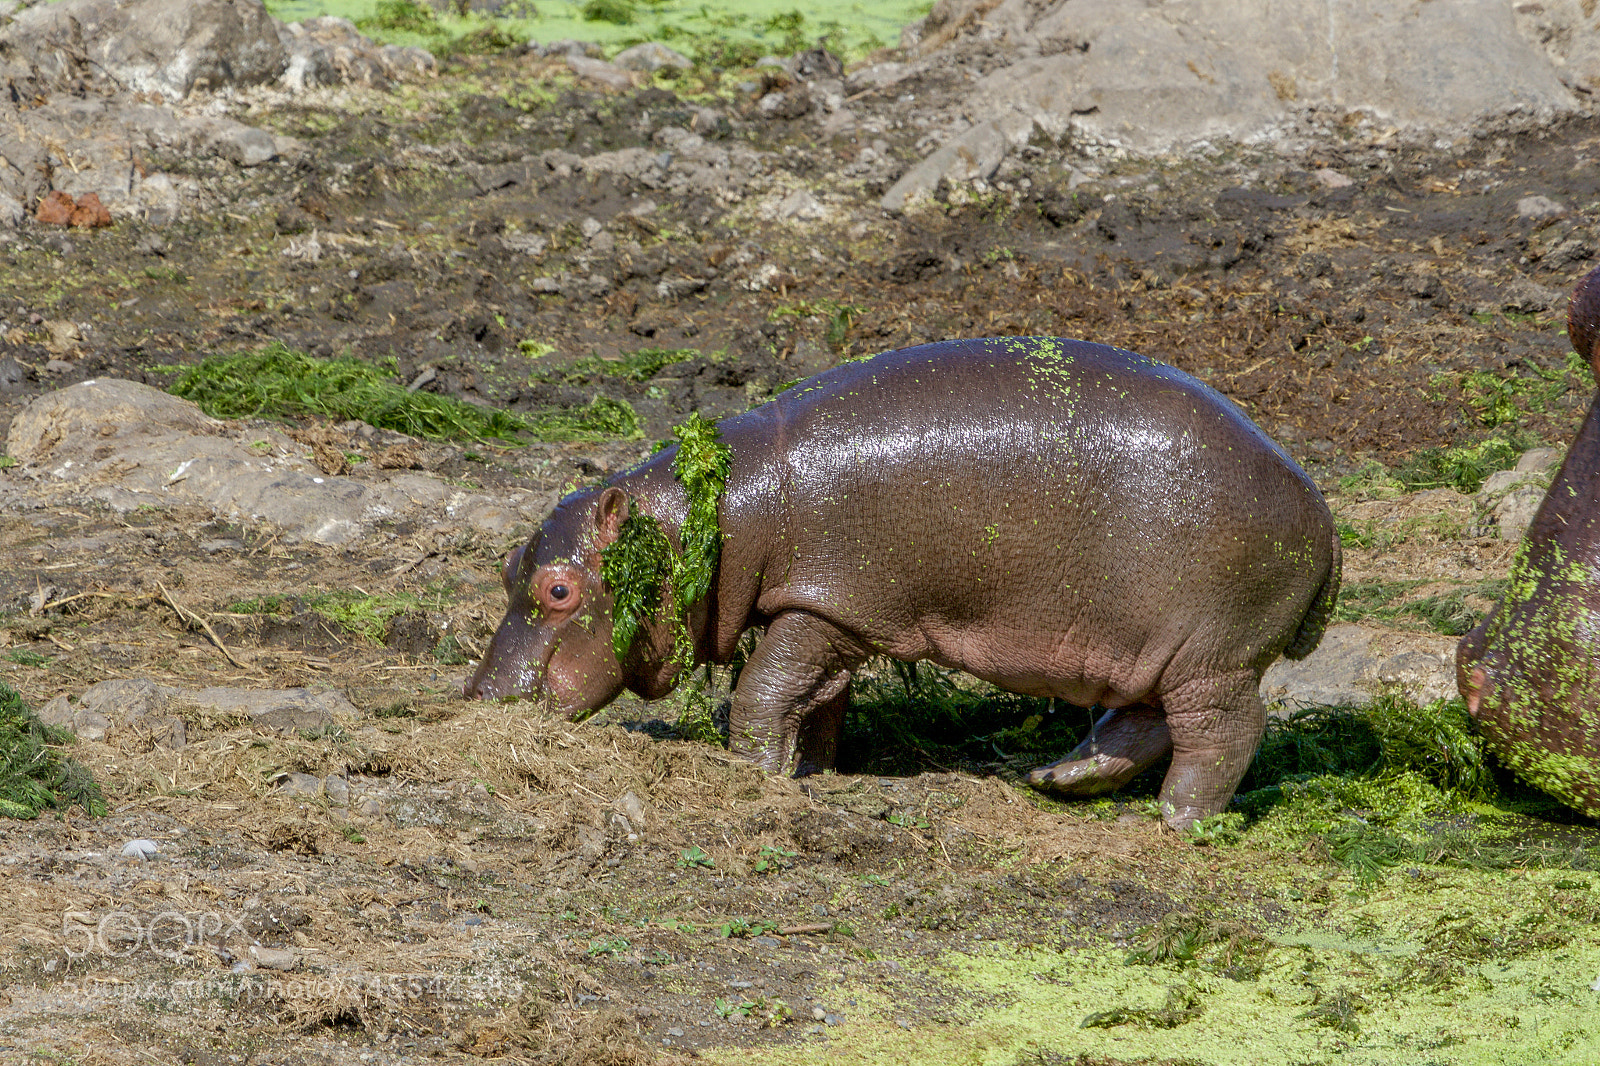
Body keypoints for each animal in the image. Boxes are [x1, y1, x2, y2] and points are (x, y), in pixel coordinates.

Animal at [467, 337, 1342, 830]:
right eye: (508, 566)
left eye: (558, 590)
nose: (479, 697)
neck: (718, 512)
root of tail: (1323, 513)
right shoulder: (832, 617)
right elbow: (814, 700)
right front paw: (810, 772)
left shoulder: (823, 605)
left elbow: (763, 691)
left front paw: (751, 775)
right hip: (1145, 646)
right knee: (1140, 720)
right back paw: (1058, 780)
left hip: (1212, 649)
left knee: (1223, 728)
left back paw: (1177, 820)